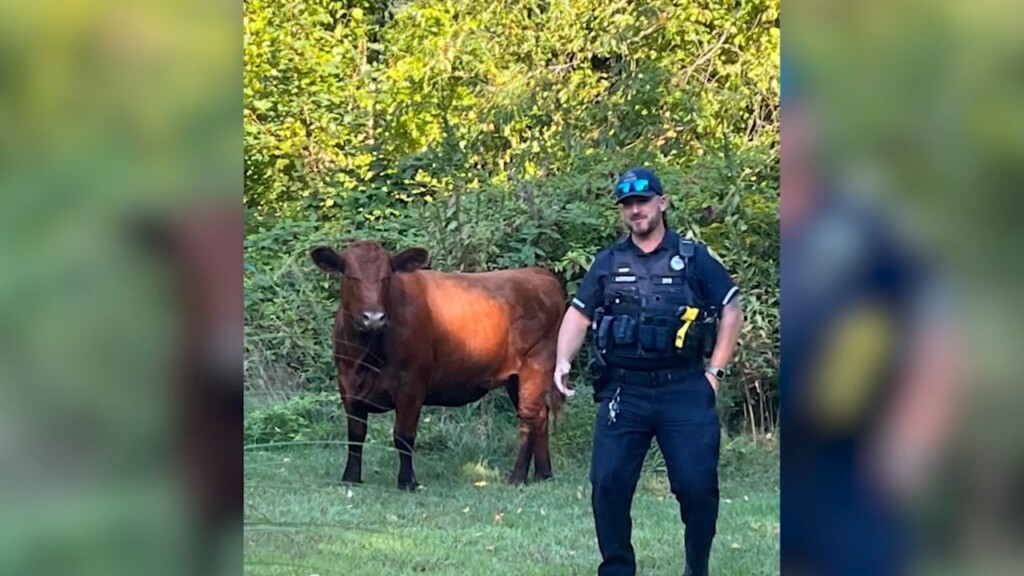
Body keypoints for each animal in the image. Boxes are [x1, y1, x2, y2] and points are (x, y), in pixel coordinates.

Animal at [309, 240, 566, 490]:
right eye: (351, 277)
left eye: (386, 277)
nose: (373, 317)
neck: (367, 356)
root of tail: (538, 273)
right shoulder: (347, 383)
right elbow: (355, 434)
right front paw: (351, 477)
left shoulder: (411, 383)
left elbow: (403, 435)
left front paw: (407, 481)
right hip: (515, 377)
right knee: (541, 415)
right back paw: (543, 473)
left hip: (536, 364)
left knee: (528, 418)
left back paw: (518, 477)